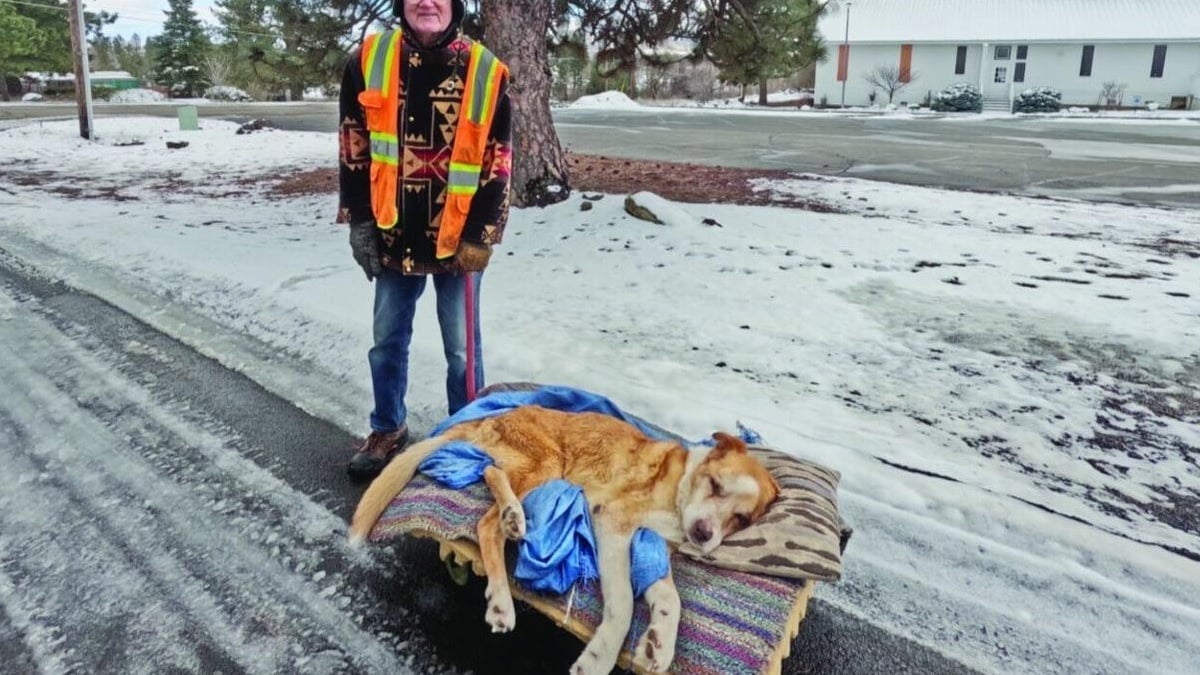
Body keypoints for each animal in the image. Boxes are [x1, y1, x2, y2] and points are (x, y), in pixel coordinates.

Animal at [348, 403, 777, 672]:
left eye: (741, 518)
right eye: (716, 485)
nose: (704, 534)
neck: (678, 490)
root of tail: (498, 415)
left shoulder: (650, 546)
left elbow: (670, 598)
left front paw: (659, 644)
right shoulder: (613, 527)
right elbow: (623, 605)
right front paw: (600, 658)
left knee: (488, 474)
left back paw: (512, 521)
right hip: (549, 462)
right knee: (487, 516)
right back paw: (504, 582)